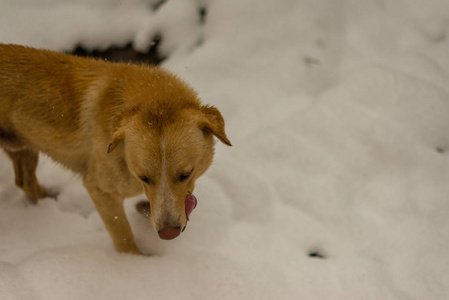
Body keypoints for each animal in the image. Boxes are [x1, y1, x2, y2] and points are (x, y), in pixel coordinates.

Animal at [0, 43, 231, 254]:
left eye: (186, 174)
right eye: (143, 177)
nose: (168, 234)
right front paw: (134, 263)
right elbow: (123, 235)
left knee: (25, 182)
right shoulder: (100, 190)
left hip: (23, 149)